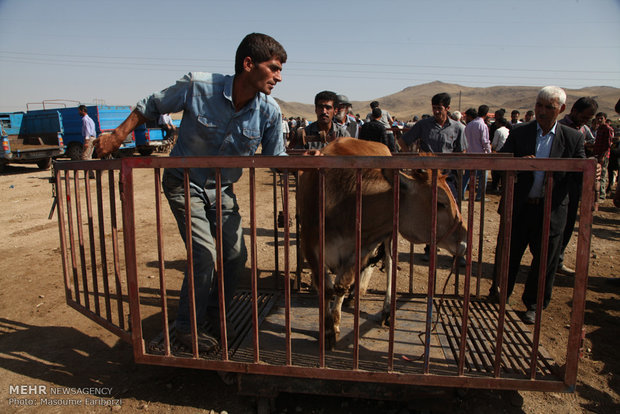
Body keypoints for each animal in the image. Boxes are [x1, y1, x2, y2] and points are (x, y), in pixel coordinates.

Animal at [296, 137, 464, 348]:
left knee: (389, 263)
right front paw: (326, 329)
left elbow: (341, 285)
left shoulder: (360, 248)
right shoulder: (311, 247)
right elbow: (326, 289)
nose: (463, 239)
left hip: (389, 236)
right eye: (440, 203)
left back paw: (384, 308)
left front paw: (333, 324)